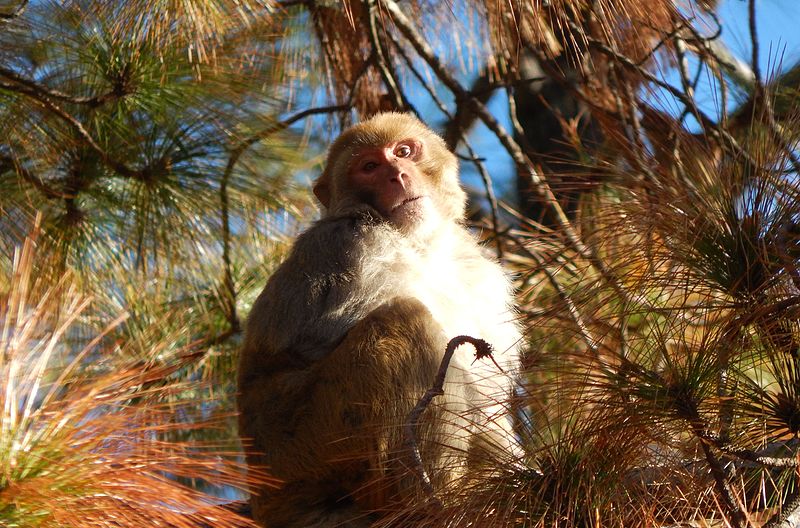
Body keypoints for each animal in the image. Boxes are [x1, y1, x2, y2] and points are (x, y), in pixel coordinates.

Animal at [238, 113, 520, 524]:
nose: (398, 175)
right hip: (300, 444)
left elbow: (487, 399)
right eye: (369, 167)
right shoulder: (352, 244)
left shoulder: (478, 273)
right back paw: (436, 502)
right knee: (406, 319)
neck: (420, 244)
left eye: (403, 151)